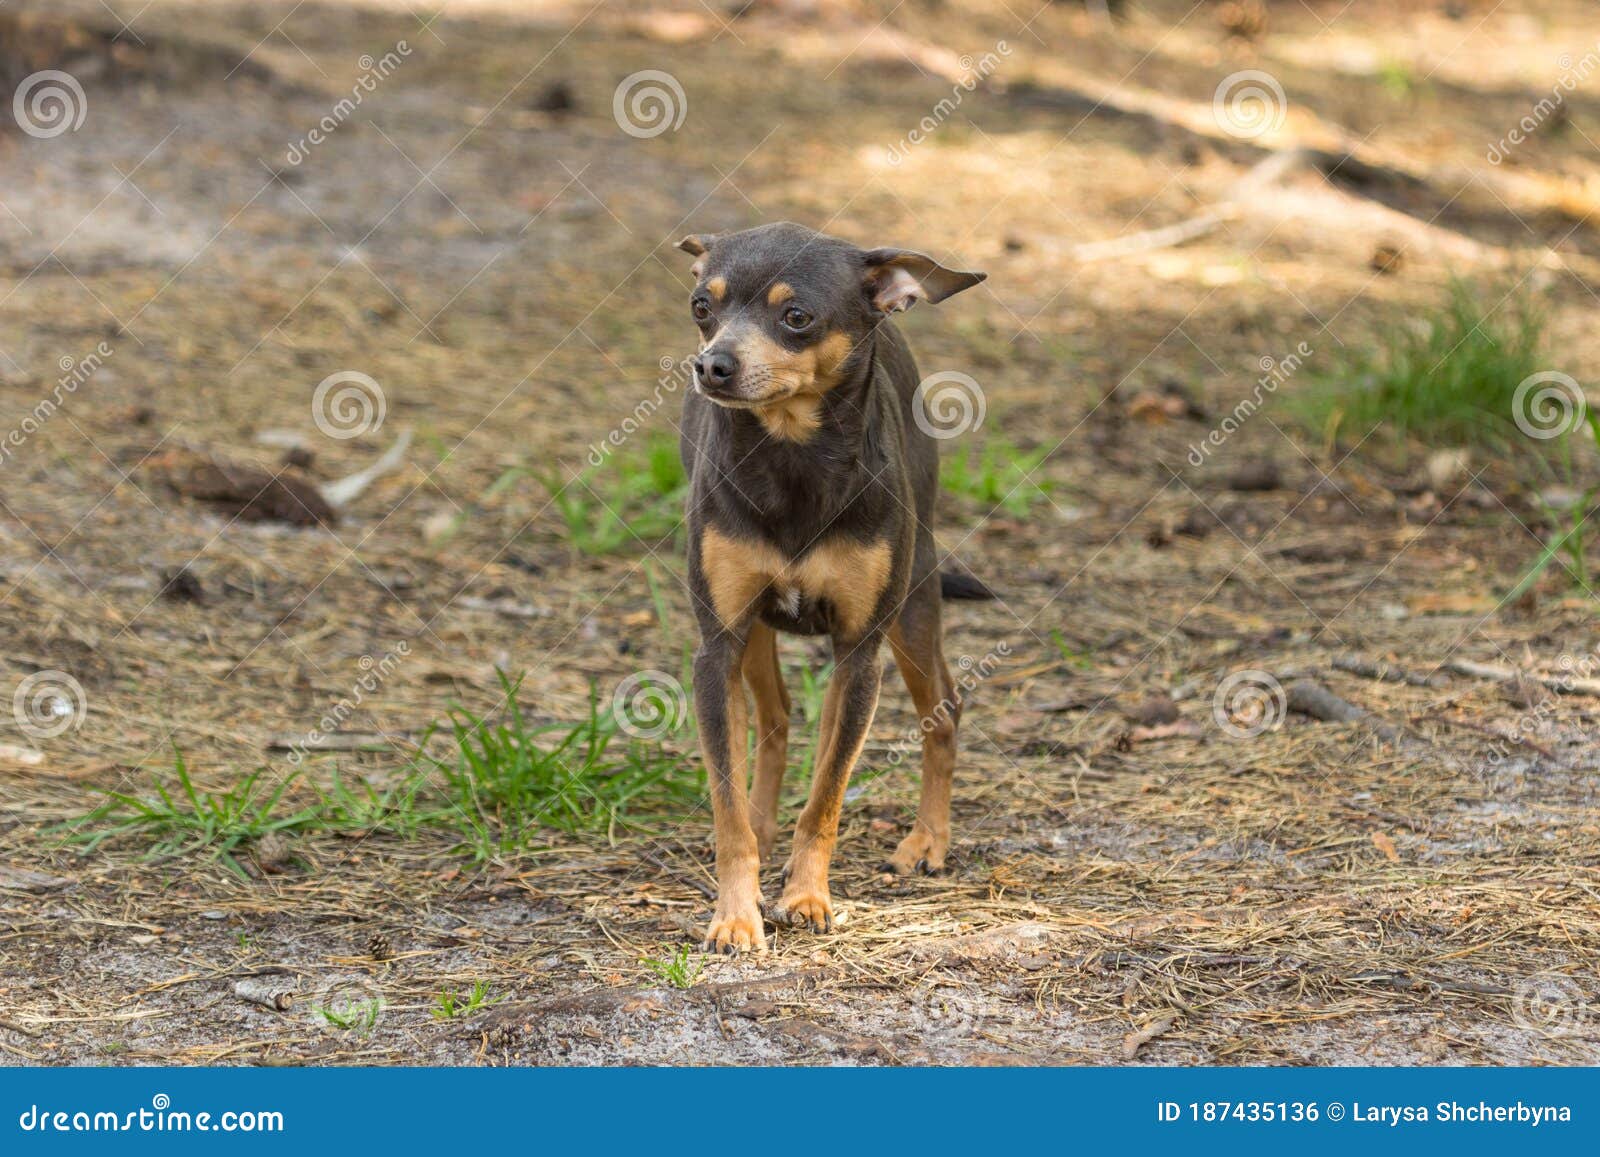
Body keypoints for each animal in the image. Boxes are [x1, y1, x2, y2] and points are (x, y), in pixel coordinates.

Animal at [672, 222, 985, 953]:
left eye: (796, 317)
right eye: (702, 306)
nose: (712, 366)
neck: (793, 456)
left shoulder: (859, 654)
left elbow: (825, 797)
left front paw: (807, 897)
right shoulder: (717, 647)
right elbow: (727, 802)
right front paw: (737, 914)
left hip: (912, 608)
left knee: (944, 709)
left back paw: (927, 841)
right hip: (755, 634)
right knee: (776, 717)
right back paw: (766, 827)